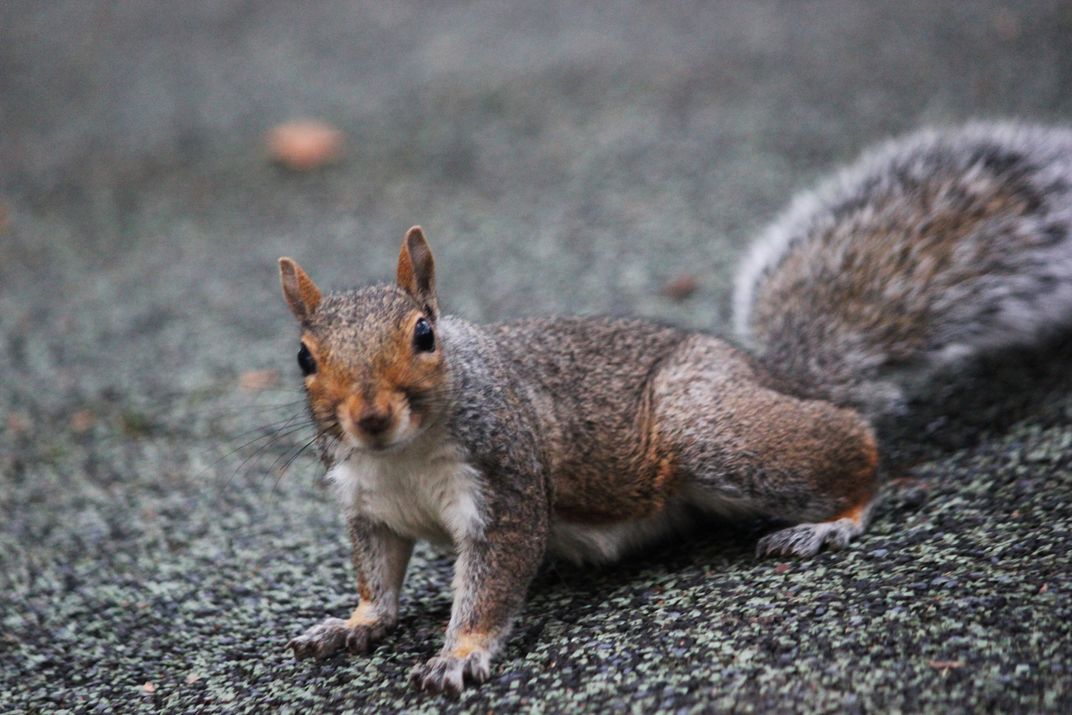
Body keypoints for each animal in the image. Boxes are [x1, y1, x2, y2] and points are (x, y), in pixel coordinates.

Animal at [278, 121, 1072, 694]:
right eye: (304, 358)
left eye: (425, 334)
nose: (370, 417)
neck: (403, 455)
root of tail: (768, 375)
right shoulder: (370, 505)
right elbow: (377, 577)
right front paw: (351, 623)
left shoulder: (506, 480)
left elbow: (493, 581)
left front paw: (459, 653)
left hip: (709, 426)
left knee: (854, 442)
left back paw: (829, 521)